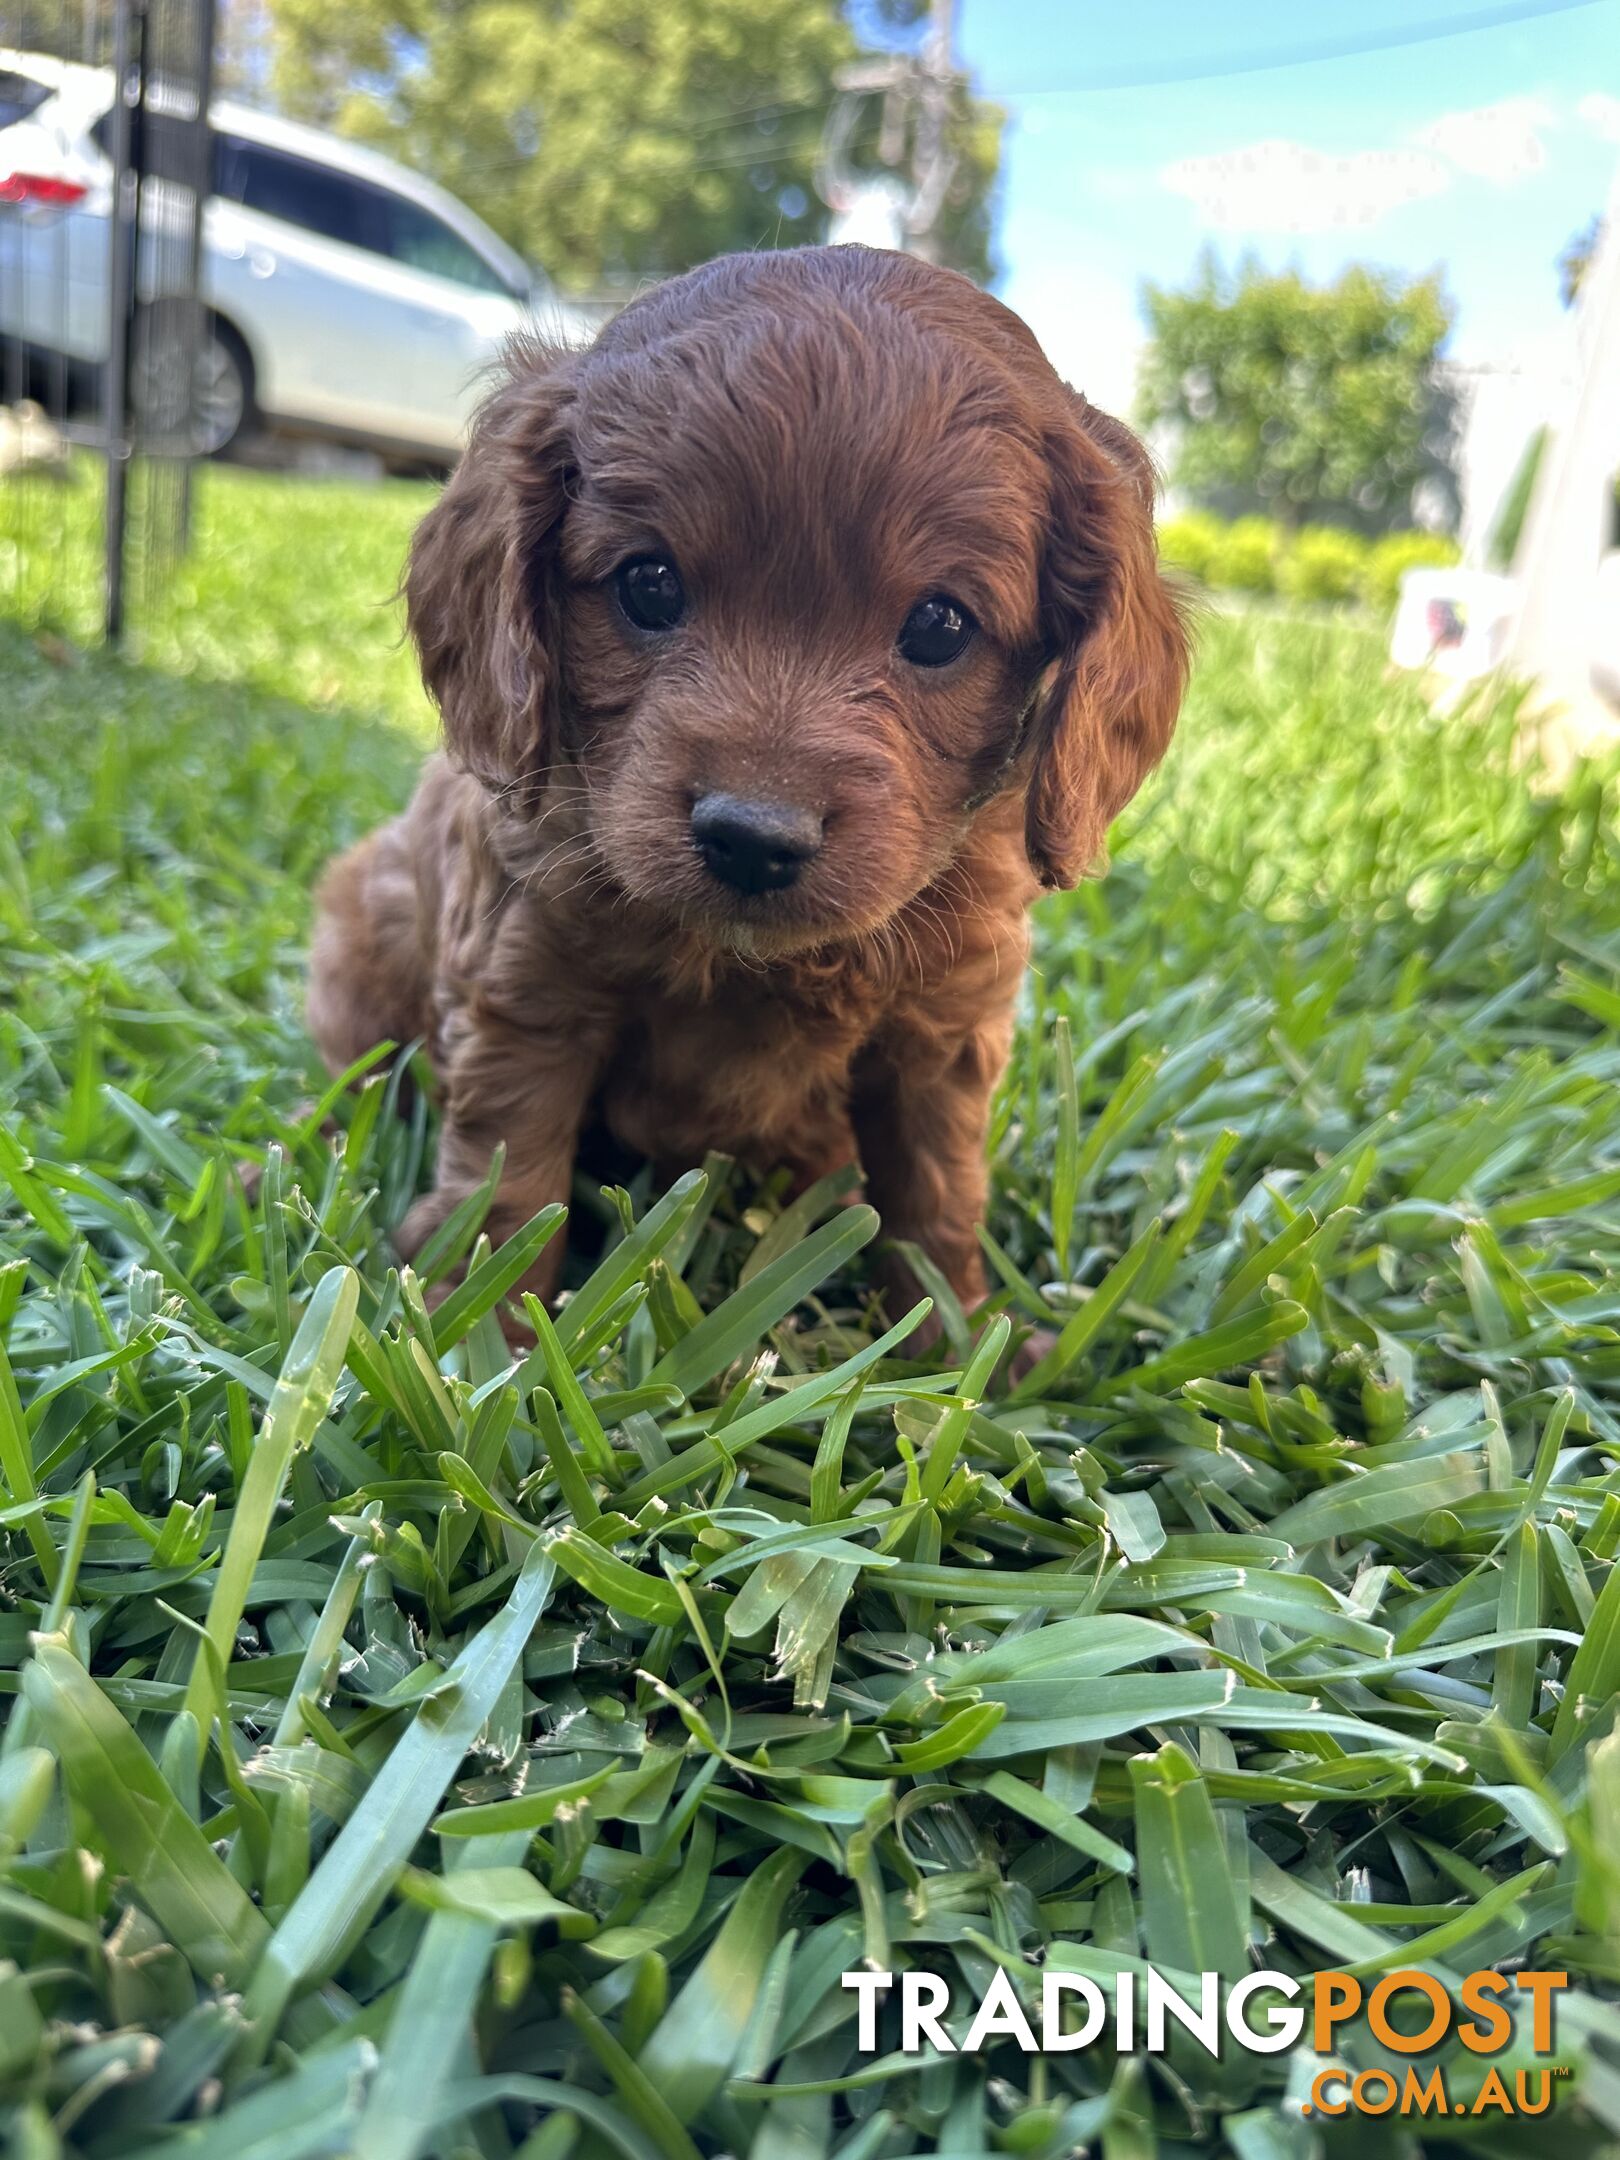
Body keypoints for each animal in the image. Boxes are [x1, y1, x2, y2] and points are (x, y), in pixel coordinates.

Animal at [306, 248, 1192, 1330]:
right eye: (648, 585)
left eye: (941, 625)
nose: (753, 838)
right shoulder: (526, 987)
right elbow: (510, 1183)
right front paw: (487, 1338)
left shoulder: (942, 1030)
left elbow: (937, 1193)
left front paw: (960, 1335)